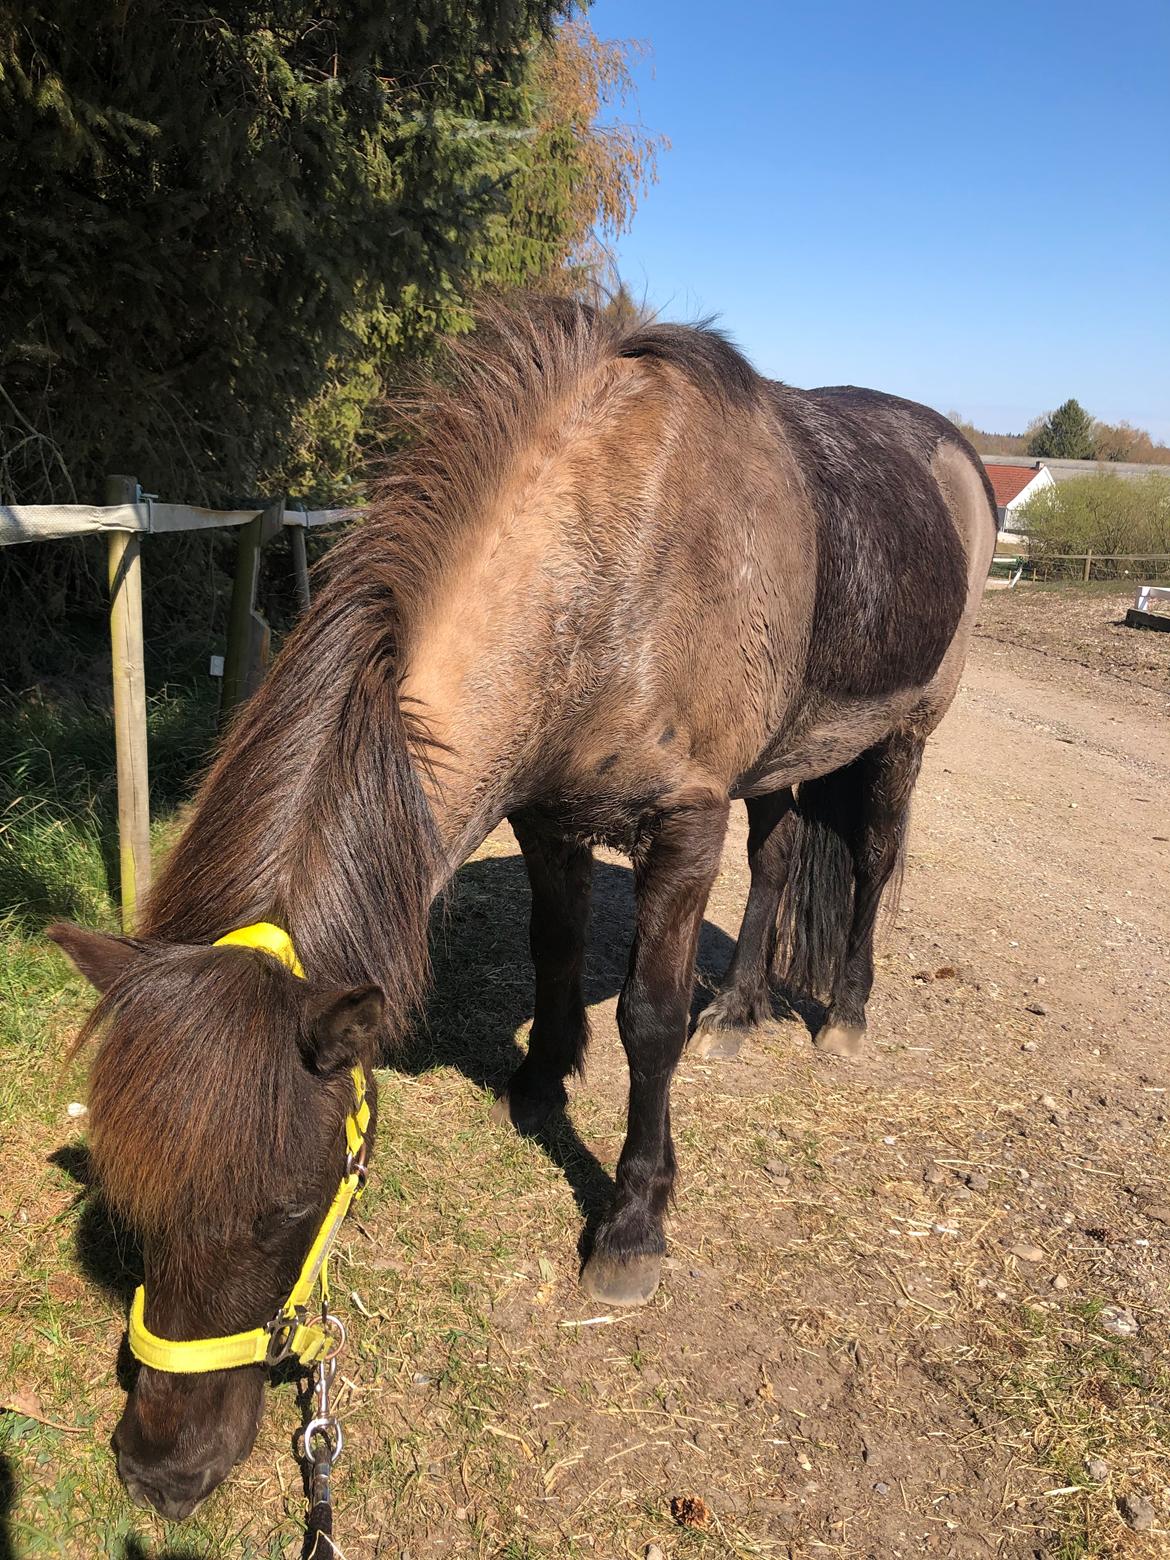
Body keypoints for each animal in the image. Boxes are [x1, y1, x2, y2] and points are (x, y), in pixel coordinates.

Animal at [48, 297, 998, 1516]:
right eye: (131, 1203)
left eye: (292, 1207)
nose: (161, 1471)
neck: (619, 563)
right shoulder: (548, 814)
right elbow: (554, 950)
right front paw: (542, 1076)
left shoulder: (683, 826)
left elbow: (647, 1021)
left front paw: (633, 1226)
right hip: (784, 761)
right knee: (784, 854)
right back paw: (738, 1015)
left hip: (903, 738)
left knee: (870, 866)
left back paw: (849, 1016)